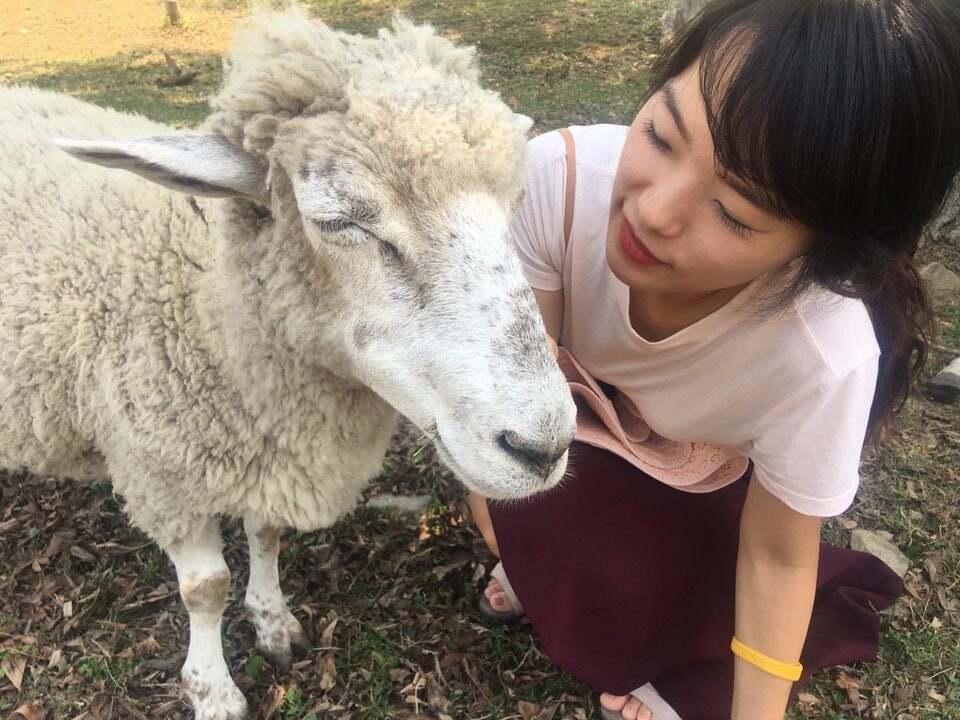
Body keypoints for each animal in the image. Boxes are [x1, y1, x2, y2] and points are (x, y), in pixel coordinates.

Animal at [0, 11, 576, 720]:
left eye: (515, 203)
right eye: (337, 219)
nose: (543, 449)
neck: (210, 305)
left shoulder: (271, 449)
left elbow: (267, 535)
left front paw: (273, 622)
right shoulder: (163, 472)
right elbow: (205, 589)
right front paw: (213, 689)